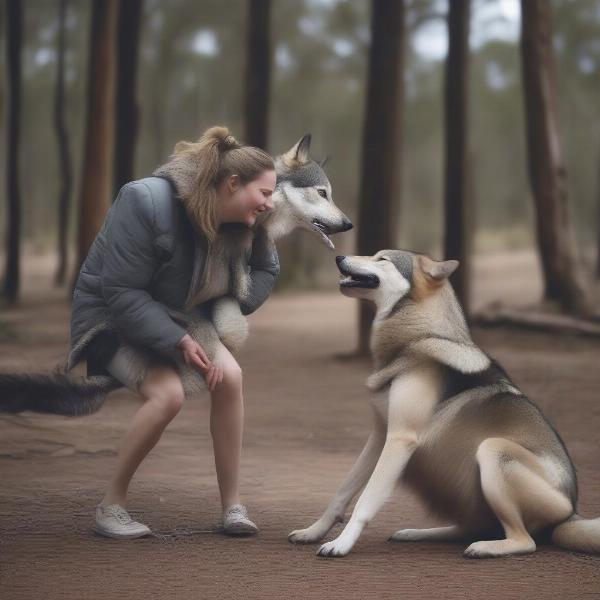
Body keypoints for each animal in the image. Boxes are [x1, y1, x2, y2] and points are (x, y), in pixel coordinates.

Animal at [288, 250, 596, 556]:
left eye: (382, 259)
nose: (339, 256)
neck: (417, 338)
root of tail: (570, 515)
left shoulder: (400, 439)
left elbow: (365, 500)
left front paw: (341, 543)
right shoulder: (380, 437)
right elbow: (342, 491)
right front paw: (313, 531)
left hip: (493, 451)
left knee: (524, 541)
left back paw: (485, 548)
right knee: (472, 528)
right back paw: (417, 533)